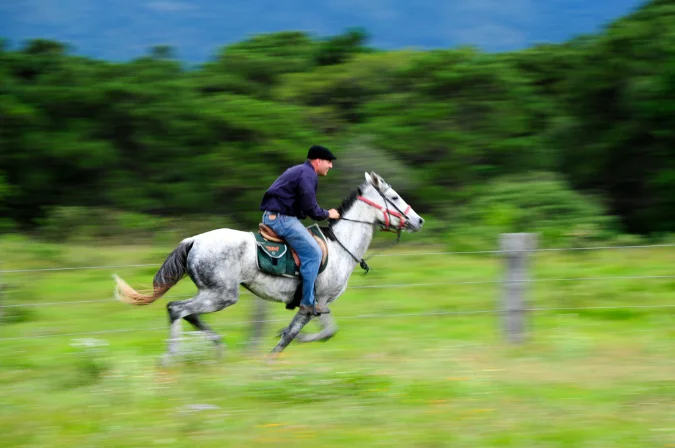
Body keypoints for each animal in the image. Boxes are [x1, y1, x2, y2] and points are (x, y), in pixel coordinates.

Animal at [113, 172, 424, 360]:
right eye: (394, 197)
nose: (418, 220)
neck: (339, 248)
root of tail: (194, 241)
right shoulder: (314, 301)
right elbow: (292, 334)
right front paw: (274, 354)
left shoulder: (320, 302)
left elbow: (325, 331)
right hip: (221, 295)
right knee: (177, 309)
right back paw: (172, 357)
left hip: (212, 293)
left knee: (185, 312)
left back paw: (217, 347)